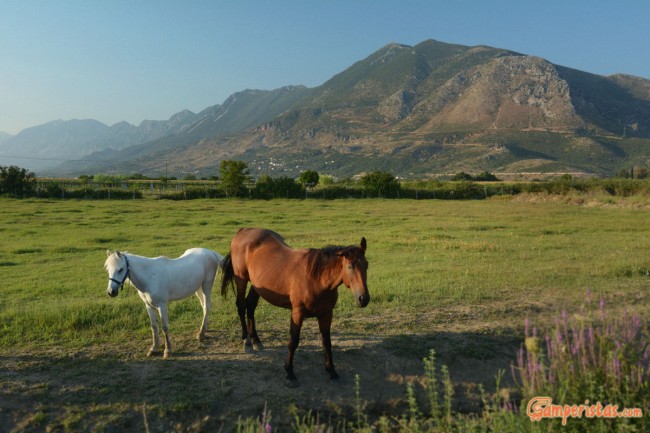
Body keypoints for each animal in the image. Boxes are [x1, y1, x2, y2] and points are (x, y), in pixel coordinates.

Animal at [220, 228, 368, 386]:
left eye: (366, 264)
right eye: (350, 267)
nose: (363, 298)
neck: (317, 280)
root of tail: (243, 231)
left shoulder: (326, 313)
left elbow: (327, 342)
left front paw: (331, 371)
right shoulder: (297, 313)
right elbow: (293, 341)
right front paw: (289, 372)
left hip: (257, 285)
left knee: (251, 305)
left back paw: (256, 340)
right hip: (241, 279)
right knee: (241, 305)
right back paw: (246, 341)